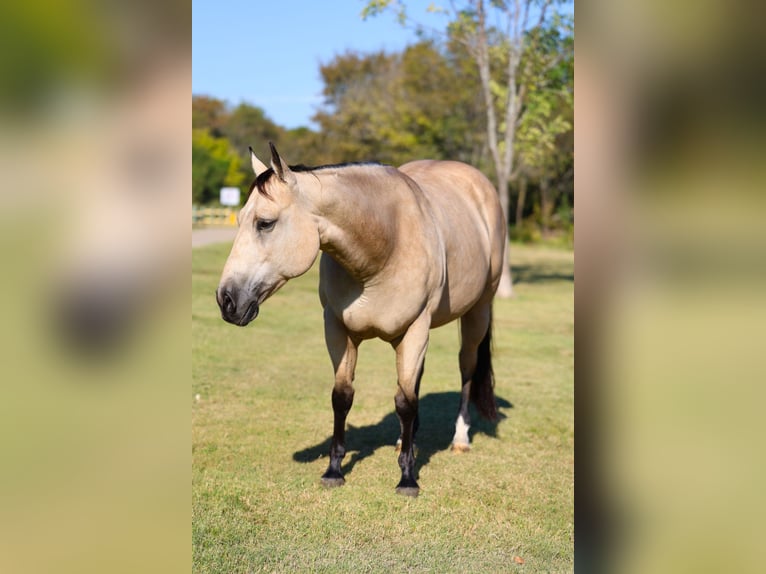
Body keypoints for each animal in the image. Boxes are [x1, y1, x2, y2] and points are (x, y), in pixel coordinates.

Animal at [216, 143, 507, 496]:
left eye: (265, 223)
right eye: (241, 220)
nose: (226, 300)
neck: (385, 244)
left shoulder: (415, 329)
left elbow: (404, 401)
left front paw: (407, 478)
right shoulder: (338, 330)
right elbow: (343, 396)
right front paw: (334, 470)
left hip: (477, 311)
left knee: (466, 368)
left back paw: (460, 438)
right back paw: (405, 440)